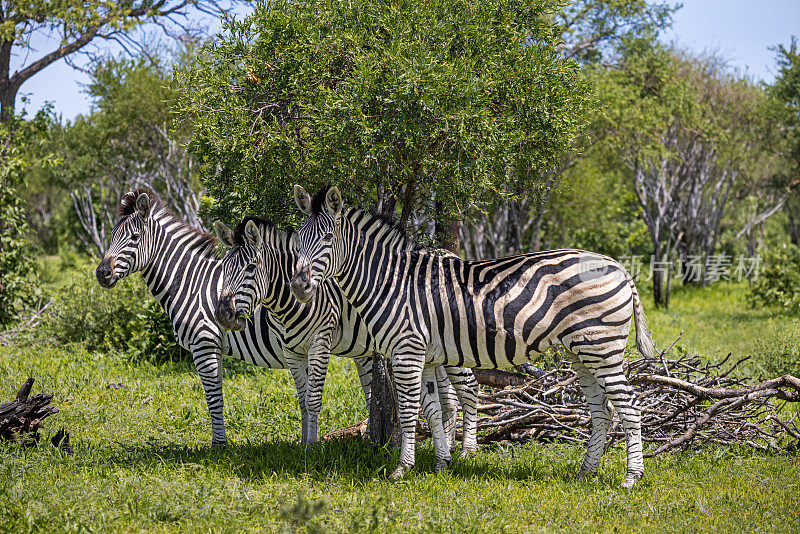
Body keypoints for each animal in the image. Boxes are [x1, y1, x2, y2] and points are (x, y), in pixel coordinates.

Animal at [95, 191, 462, 450]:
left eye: (132, 239)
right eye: (110, 235)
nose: (101, 274)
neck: (191, 282)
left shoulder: (205, 343)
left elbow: (214, 397)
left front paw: (219, 447)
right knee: (442, 396)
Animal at [212, 216, 478, 466]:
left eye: (250, 267)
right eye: (224, 268)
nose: (223, 314)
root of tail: (450, 254)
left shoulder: (320, 341)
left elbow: (313, 398)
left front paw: (311, 447)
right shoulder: (292, 350)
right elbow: (302, 399)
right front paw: (302, 443)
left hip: (455, 345)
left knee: (470, 389)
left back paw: (467, 451)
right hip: (435, 350)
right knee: (450, 398)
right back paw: (448, 448)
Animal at [290, 185, 660, 490]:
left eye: (327, 238)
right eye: (297, 240)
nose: (298, 286)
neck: (391, 282)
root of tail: (618, 266)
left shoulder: (406, 351)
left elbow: (409, 410)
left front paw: (402, 469)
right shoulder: (426, 356)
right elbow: (433, 409)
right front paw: (441, 463)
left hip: (601, 348)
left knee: (630, 407)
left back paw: (631, 478)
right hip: (581, 353)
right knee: (603, 410)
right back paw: (586, 472)